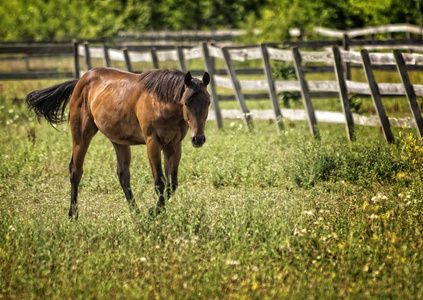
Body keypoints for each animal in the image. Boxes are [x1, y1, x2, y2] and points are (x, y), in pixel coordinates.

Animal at [26, 68, 210, 218]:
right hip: (81, 135)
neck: (161, 101)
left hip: (119, 141)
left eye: (208, 102)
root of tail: (81, 80)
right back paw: (73, 215)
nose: (198, 138)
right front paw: (152, 213)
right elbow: (160, 183)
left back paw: (136, 214)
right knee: (76, 171)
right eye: (186, 102)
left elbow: (172, 185)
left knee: (123, 175)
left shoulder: (174, 146)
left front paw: (155, 212)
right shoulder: (153, 143)